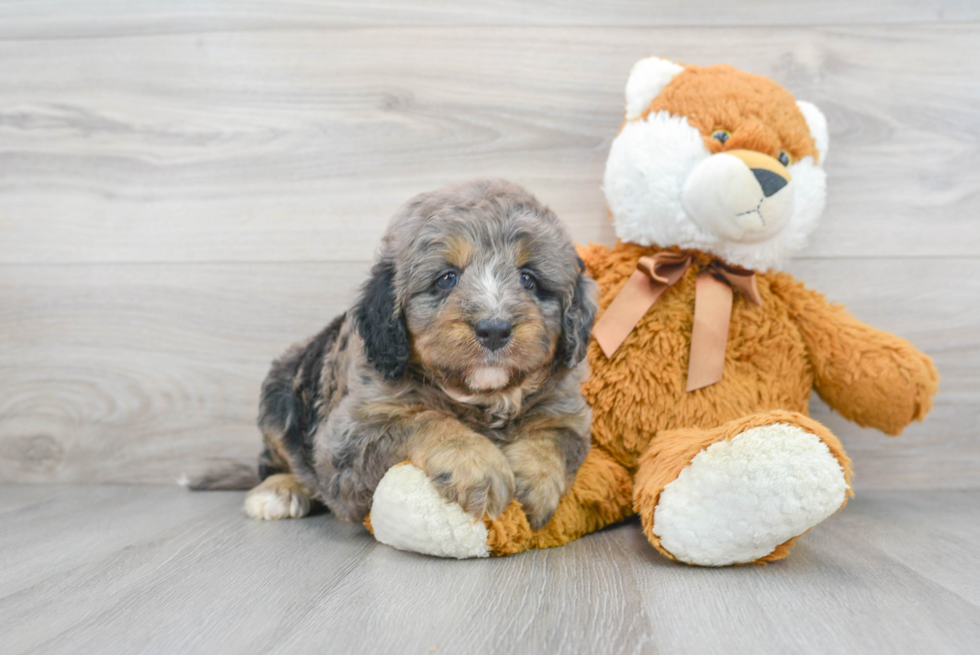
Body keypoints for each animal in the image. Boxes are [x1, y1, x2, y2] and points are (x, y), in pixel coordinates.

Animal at [245, 179, 596, 532]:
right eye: (447, 278)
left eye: (528, 278)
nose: (495, 329)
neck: (483, 398)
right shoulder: (349, 437)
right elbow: (422, 418)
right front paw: (476, 464)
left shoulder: (569, 414)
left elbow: (553, 439)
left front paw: (534, 483)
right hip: (279, 395)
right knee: (276, 459)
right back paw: (278, 491)